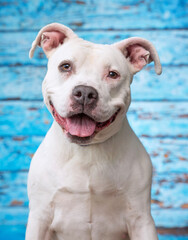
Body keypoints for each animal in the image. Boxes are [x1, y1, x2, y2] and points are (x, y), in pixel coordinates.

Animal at [26, 23, 162, 240]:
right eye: (65, 66)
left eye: (113, 74)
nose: (85, 92)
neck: (87, 151)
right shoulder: (40, 217)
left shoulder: (141, 220)